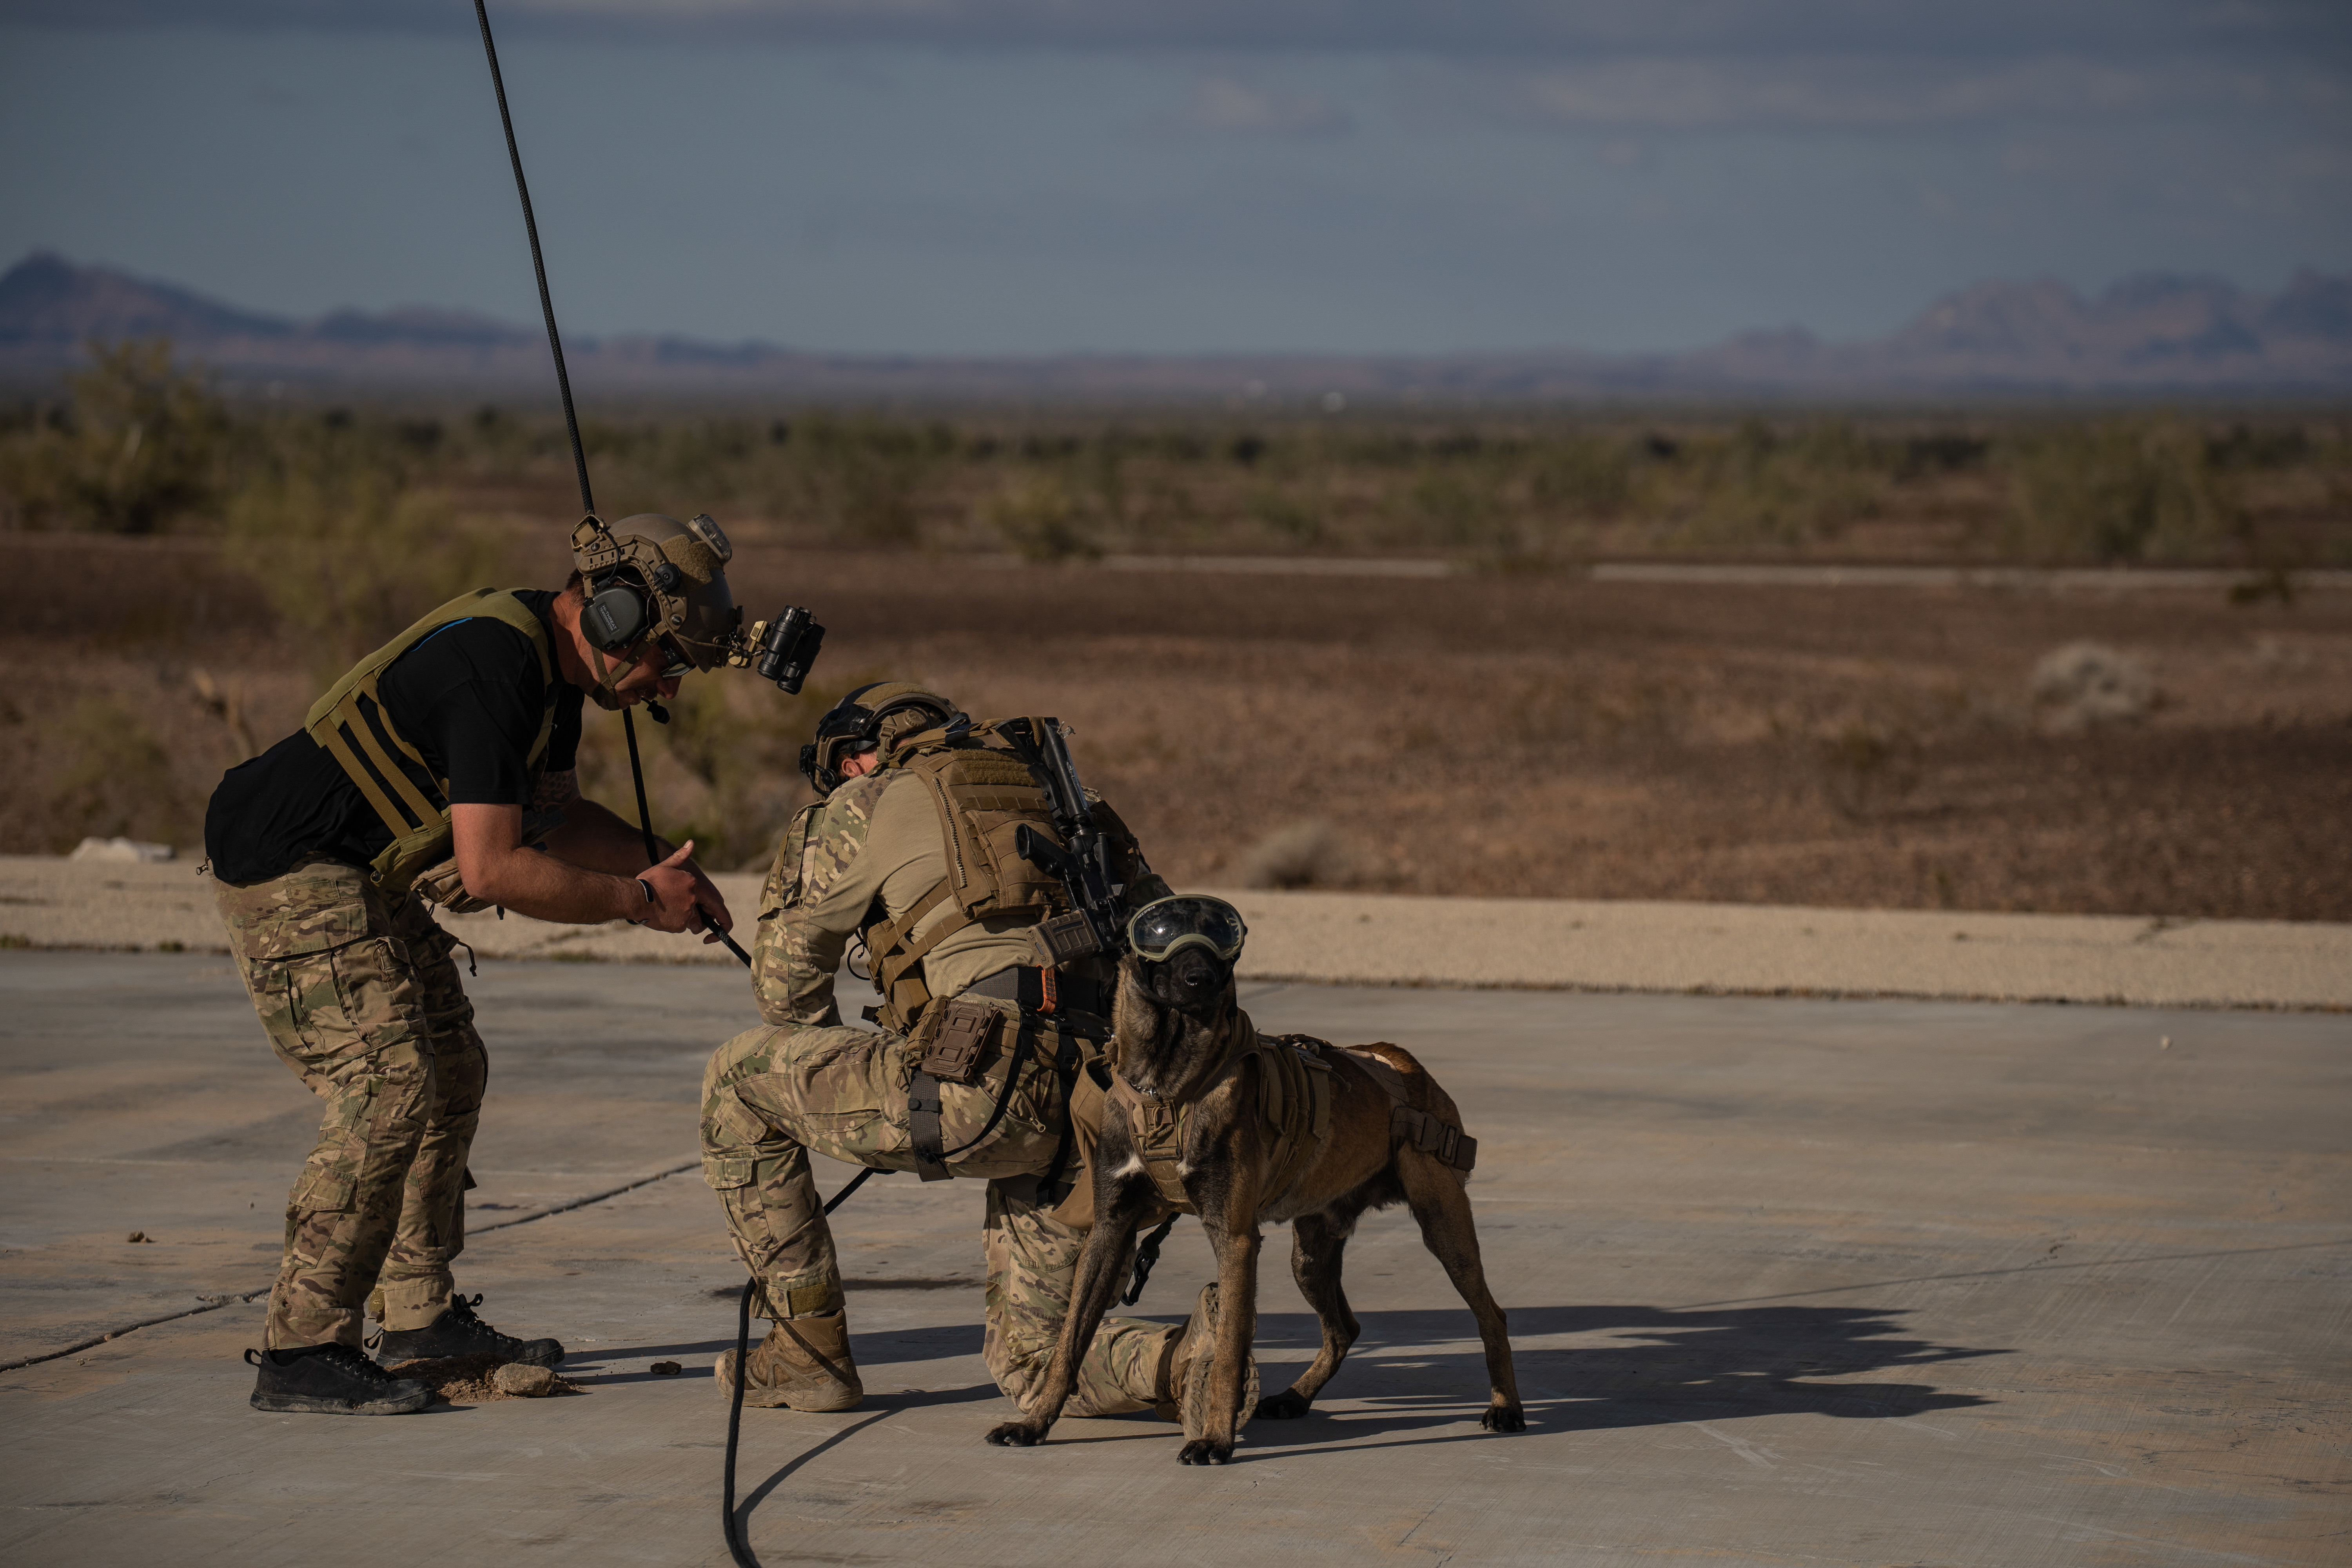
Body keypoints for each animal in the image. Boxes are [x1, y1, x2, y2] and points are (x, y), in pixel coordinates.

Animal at [978, 940, 1515, 1467]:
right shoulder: (1109, 1233)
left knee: (1491, 1315)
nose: (1201, 980)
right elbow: (1068, 1342)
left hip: (1445, 1228)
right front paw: (1034, 1424)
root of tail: (1404, 1062)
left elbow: (1230, 1351)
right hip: (1311, 1258)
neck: (1165, 1084)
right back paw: (1297, 1396)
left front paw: (1216, 1438)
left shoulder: (1235, 1239)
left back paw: (1506, 1408)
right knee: (1345, 1328)